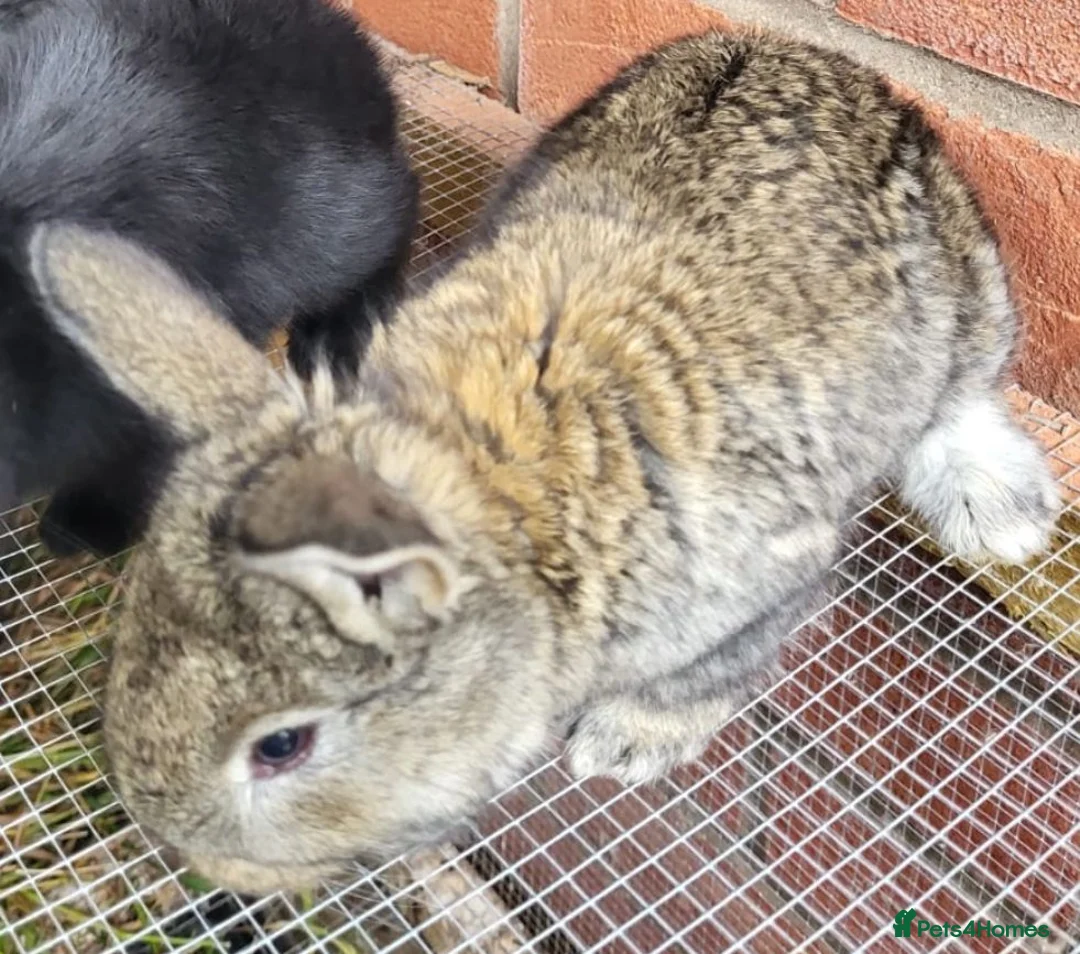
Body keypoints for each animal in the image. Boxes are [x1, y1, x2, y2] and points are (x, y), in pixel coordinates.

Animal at [26, 30, 1059, 895]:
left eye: (280, 747)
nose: (197, 860)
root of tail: (805, 52)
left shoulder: (767, 576)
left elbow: (704, 677)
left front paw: (623, 748)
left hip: (970, 287)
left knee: (963, 396)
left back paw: (1004, 514)